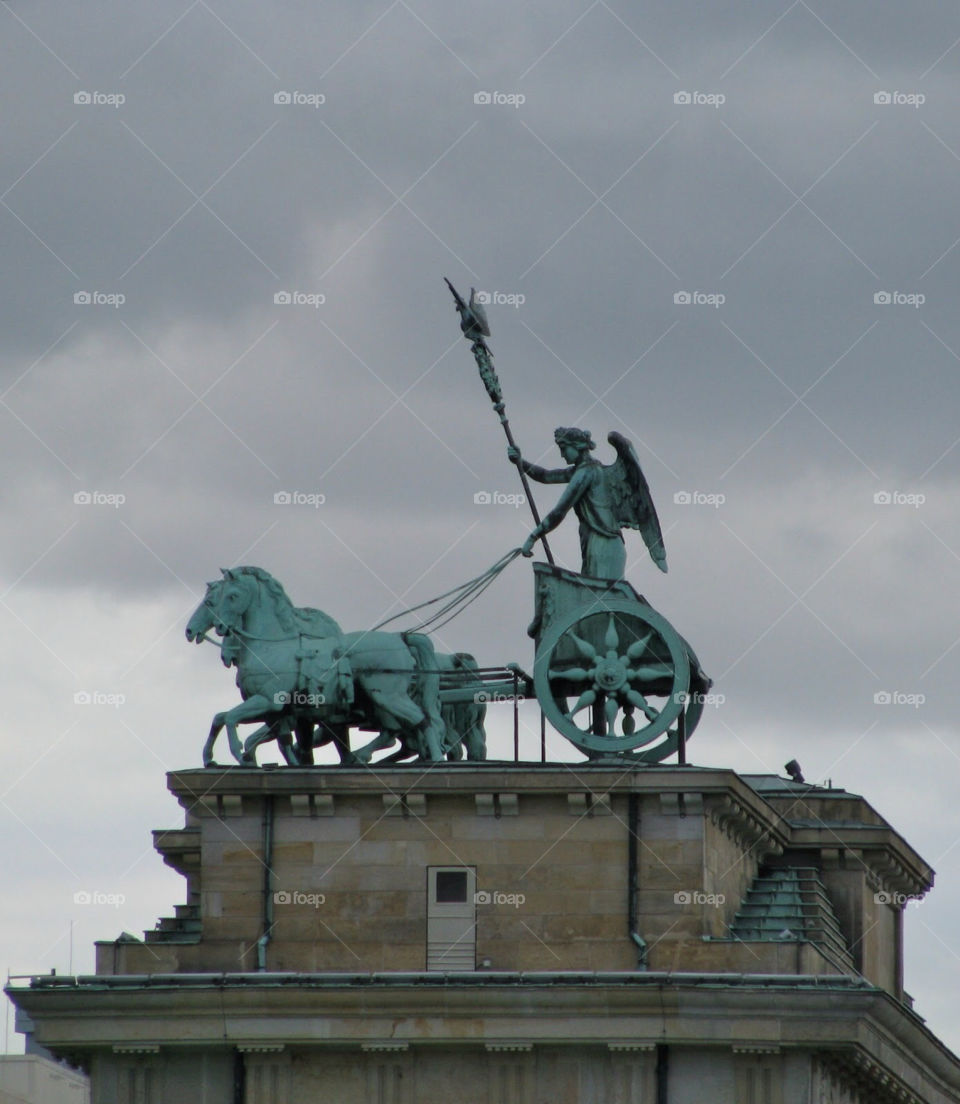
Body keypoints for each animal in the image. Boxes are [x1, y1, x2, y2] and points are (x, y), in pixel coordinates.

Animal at [186, 569, 450, 768]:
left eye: (230, 596)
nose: (190, 630)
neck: (271, 645)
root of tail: (400, 637)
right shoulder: (278, 712)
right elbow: (222, 718)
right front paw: (211, 758)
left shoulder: (269, 702)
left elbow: (232, 718)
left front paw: (239, 754)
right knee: (403, 729)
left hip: (388, 697)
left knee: (422, 721)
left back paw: (434, 758)